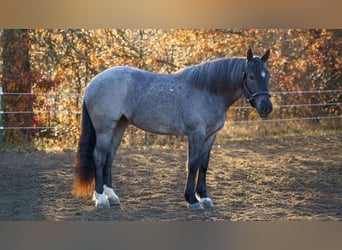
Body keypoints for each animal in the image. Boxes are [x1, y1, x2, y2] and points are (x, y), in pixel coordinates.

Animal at [74, 48, 272, 209]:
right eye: (251, 76)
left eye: (268, 76)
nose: (266, 107)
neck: (208, 91)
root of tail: (92, 83)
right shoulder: (196, 134)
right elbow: (192, 164)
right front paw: (192, 200)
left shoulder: (210, 136)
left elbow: (204, 165)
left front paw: (204, 198)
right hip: (104, 129)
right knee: (99, 157)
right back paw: (101, 199)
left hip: (119, 126)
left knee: (109, 157)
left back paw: (112, 196)